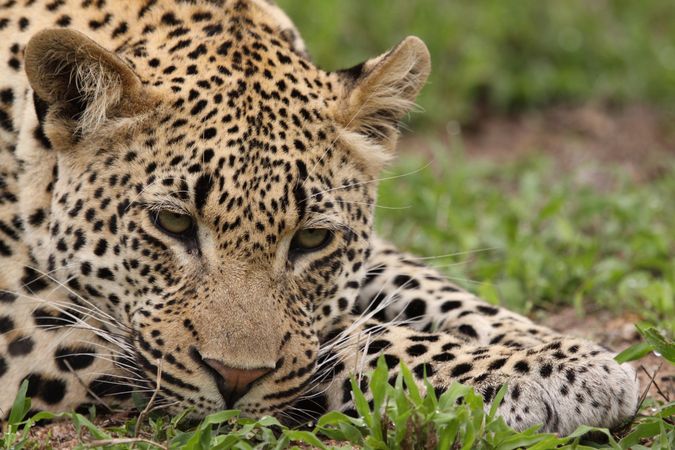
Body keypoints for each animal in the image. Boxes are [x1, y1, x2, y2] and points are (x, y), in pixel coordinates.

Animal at [0, 0, 640, 436]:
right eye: (174, 225)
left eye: (310, 239)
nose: (235, 379)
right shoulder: (26, 314)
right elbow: (359, 340)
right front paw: (521, 372)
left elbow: (434, 289)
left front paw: (570, 357)